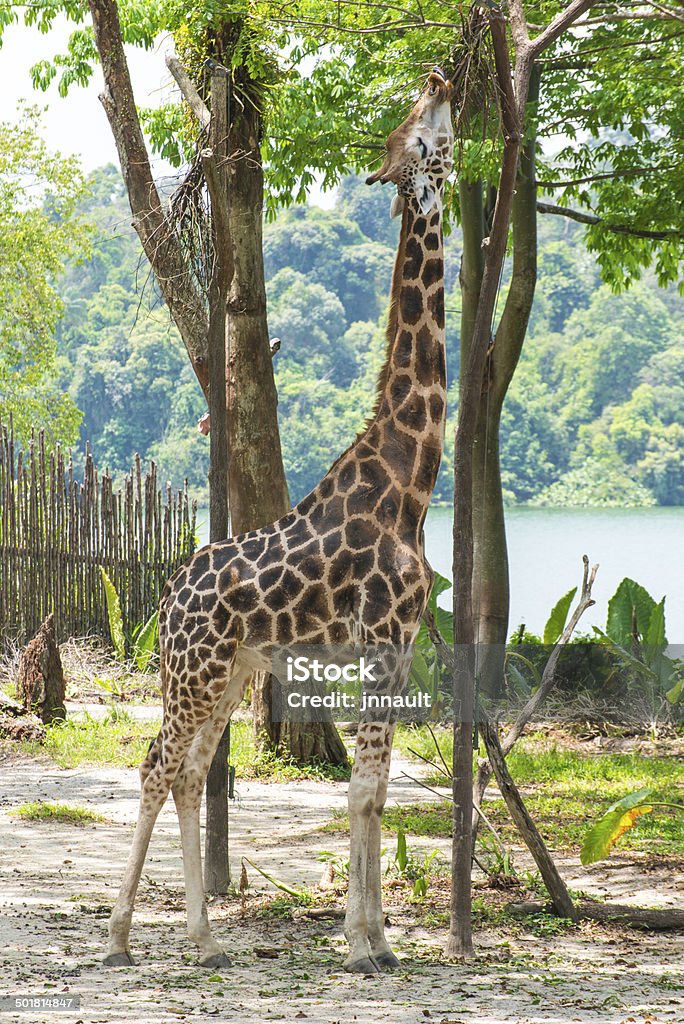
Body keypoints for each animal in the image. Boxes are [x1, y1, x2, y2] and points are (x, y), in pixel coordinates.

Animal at [102, 66, 454, 974]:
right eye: (416, 132)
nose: (441, 75)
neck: (409, 480)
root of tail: (165, 598)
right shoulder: (379, 639)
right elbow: (364, 791)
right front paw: (360, 943)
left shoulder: (399, 648)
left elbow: (376, 791)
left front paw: (377, 939)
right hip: (194, 673)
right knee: (155, 764)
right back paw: (121, 938)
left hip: (229, 672)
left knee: (189, 772)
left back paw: (201, 939)